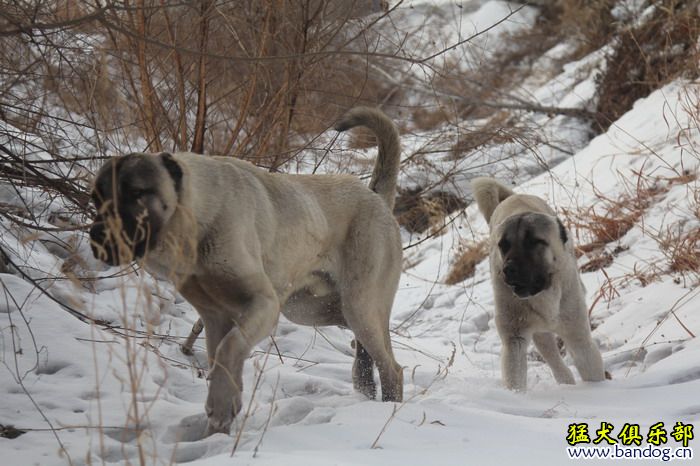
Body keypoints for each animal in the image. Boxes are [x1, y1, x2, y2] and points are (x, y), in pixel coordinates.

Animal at [89, 107, 404, 436]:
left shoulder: (262, 305)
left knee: (392, 367)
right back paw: (365, 392)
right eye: (95, 198)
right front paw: (219, 427)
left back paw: (389, 409)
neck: (197, 222)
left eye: (137, 193)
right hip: (310, 308)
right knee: (365, 350)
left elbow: (230, 349)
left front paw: (220, 406)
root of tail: (376, 197)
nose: (96, 235)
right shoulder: (216, 318)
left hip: (358, 304)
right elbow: (221, 358)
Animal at [470, 177, 608, 392]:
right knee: (551, 354)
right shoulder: (514, 339)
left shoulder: (578, 335)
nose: (508, 269)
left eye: (534, 242)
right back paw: (565, 381)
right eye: (503, 245)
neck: (544, 294)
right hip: (539, 332)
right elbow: (515, 375)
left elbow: (589, 365)